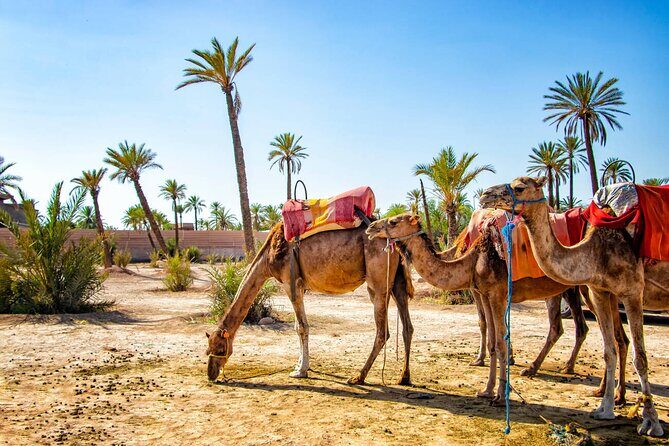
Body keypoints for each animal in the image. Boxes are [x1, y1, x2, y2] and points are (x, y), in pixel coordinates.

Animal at [206, 222, 415, 386]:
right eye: (207, 349)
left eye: (220, 348)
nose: (211, 374)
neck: (269, 257)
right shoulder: (299, 287)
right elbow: (299, 326)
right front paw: (300, 365)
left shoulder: (290, 283)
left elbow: (301, 327)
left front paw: (301, 371)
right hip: (396, 281)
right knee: (407, 327)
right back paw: (404, 378)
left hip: (378, 283)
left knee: (382, 332)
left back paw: (358, 377)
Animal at [366, 214, 596, 404]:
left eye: (394, 221)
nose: (371, 228)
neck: (472, 260)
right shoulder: (484, 293)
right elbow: (493, 341)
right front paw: (486, 391)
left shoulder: (497, 294)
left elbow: (500, 342)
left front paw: (501, 396)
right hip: (574, 288)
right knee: (581, 326)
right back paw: (568, 369)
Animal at [479, 176, 667, 437]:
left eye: (520, 187)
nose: (485, 194)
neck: (596, 248)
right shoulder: (601, 291)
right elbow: (608, 351)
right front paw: (604, 410)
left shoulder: (632, 293)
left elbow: (641, 359)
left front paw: (651, 421)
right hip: (591, 295)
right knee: (617, 340)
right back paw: (611, 394)